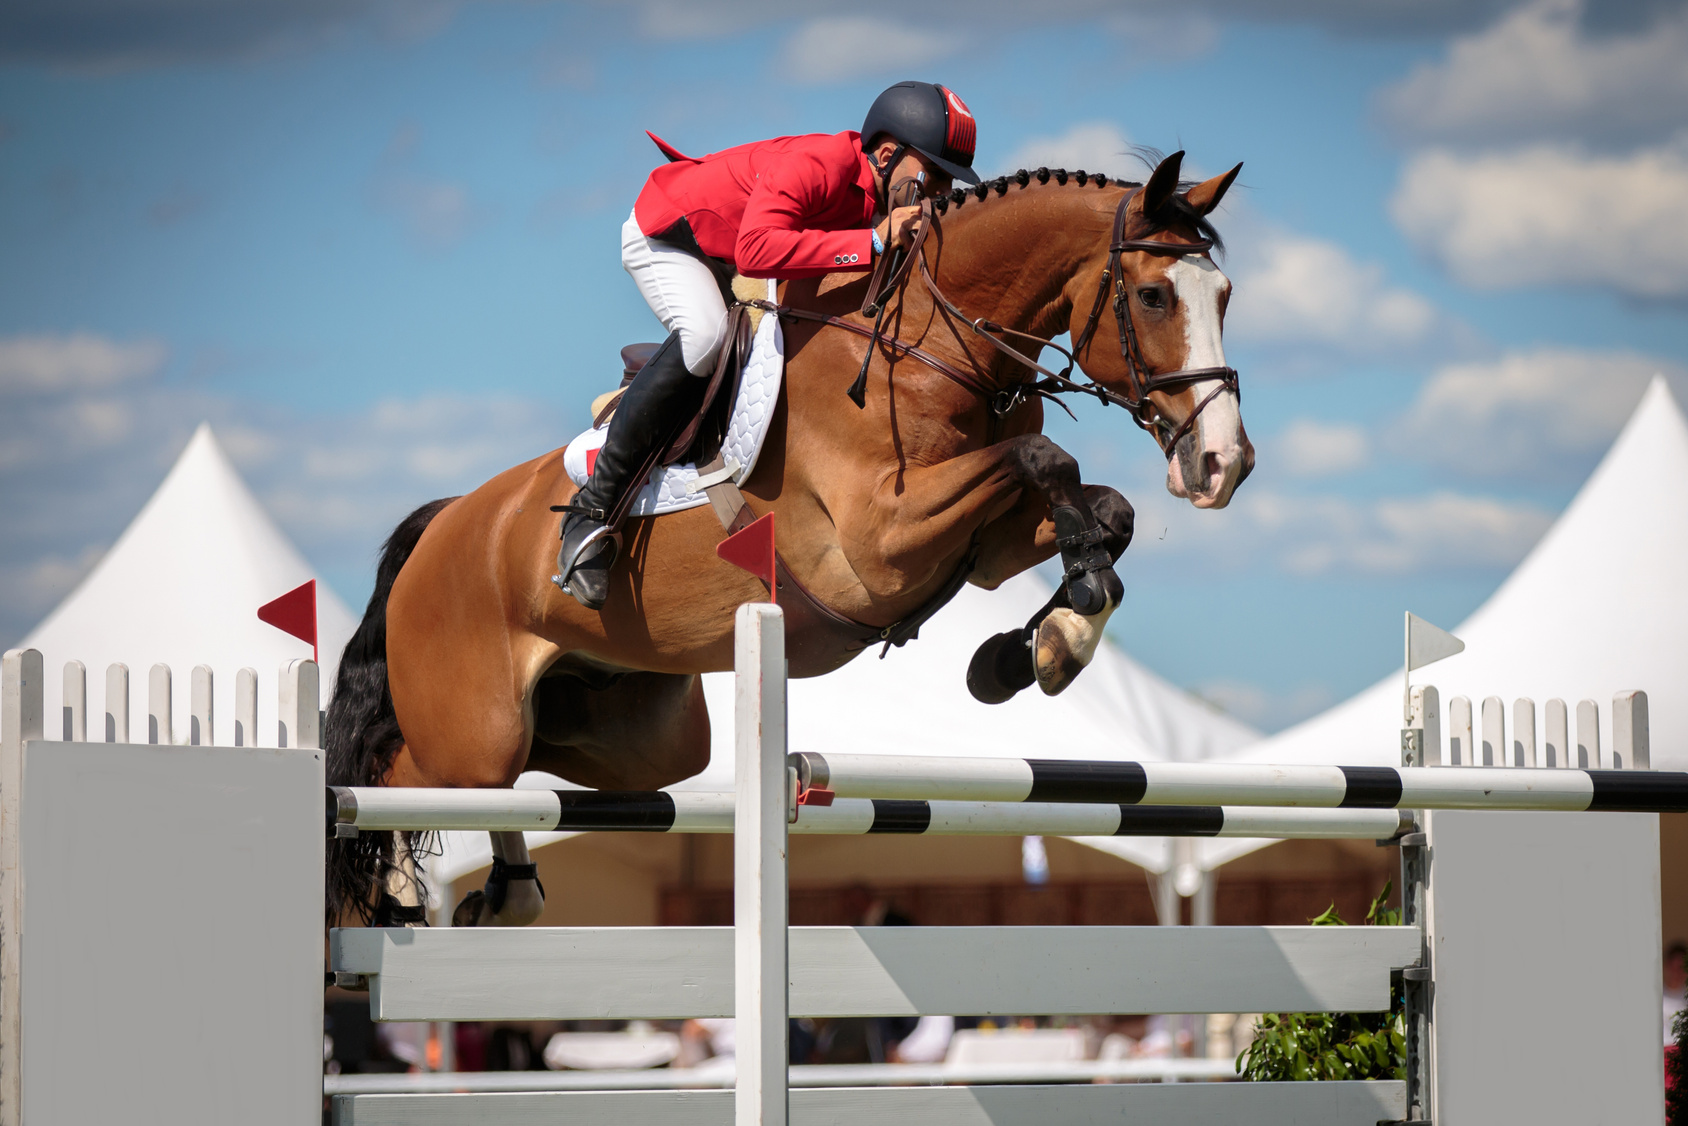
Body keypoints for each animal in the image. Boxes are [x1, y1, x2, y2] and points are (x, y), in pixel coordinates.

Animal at [325, 149, 1255, 925]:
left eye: (1224, 297)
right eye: (1154, 295)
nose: (1224, 465)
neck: (930, 348)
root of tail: (447, 522)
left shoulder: (984, 551)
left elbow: (1103, 510)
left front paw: (1038, 646)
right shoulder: (881, 547)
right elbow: (1047, 456)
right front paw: (1050, 635)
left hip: (634, 738)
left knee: (518, 778)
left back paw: (507, 892)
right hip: (472, 728)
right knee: (388, 780)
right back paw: (397, 888)